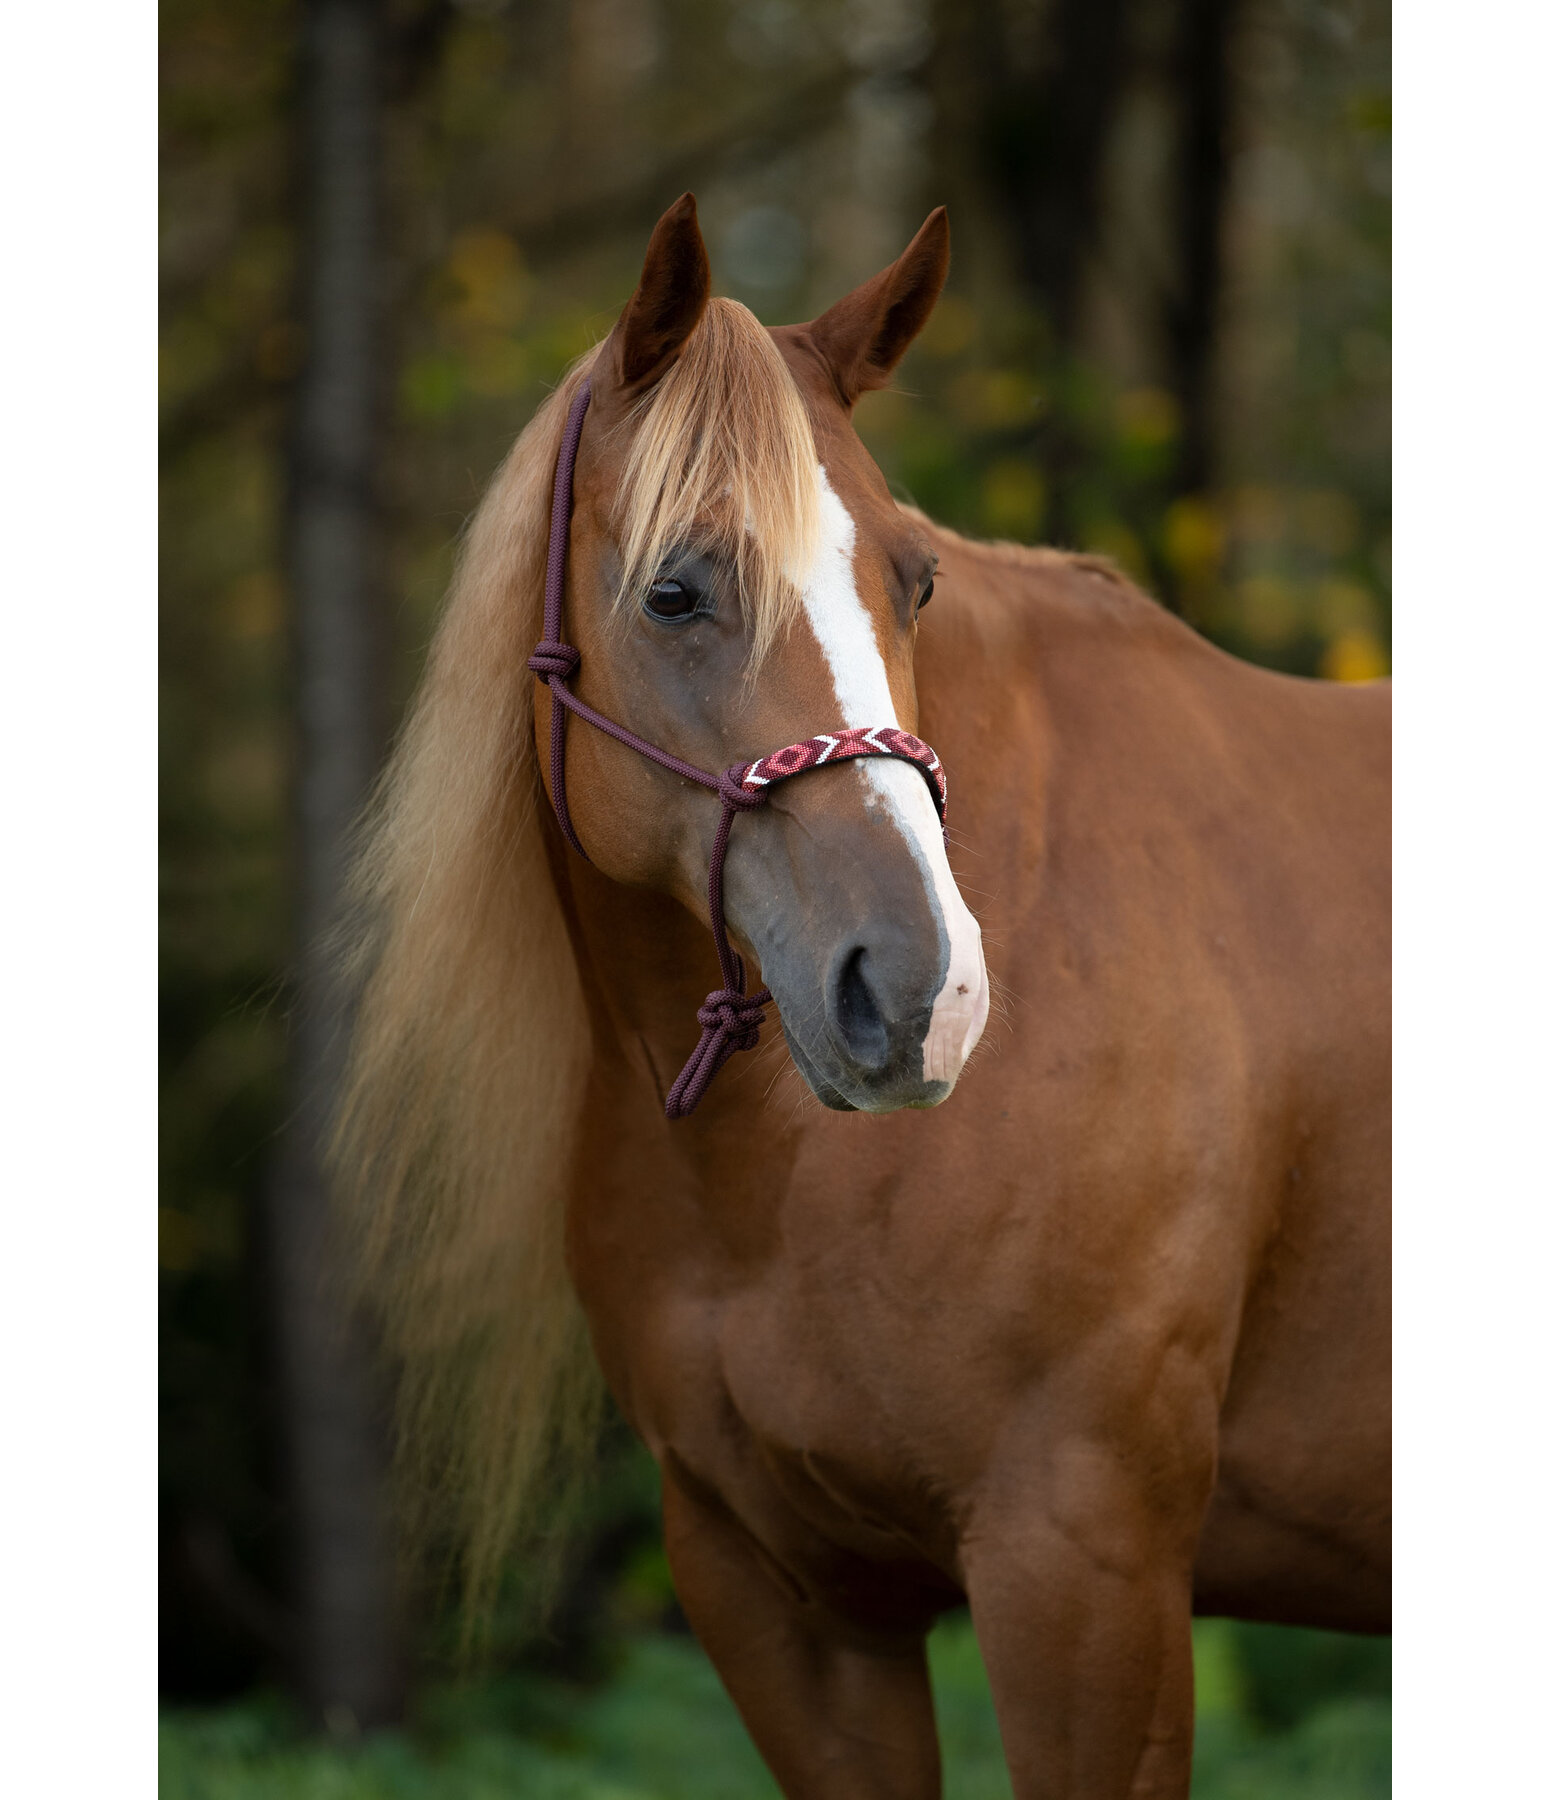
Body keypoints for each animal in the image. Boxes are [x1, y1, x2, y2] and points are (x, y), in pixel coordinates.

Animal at [338, 197, 1389, 1800]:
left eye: (916, 580)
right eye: (674, 589)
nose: (922, 994)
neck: (775, 1185)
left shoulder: (1083, 1569)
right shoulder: (783, 1599)